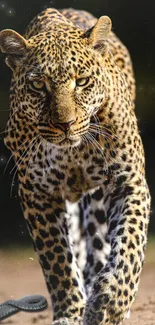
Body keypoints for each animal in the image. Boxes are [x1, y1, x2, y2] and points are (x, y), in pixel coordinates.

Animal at [0, 5, 150, 324]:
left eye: (81, 82)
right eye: (38, 85)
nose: (65, 125)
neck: (74, 152)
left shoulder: (128, 183)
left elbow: (129, 247)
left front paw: (110, 304)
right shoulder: (37, 193)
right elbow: (57, 260)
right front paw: (70, 312)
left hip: (97, 202)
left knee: (100, 245)